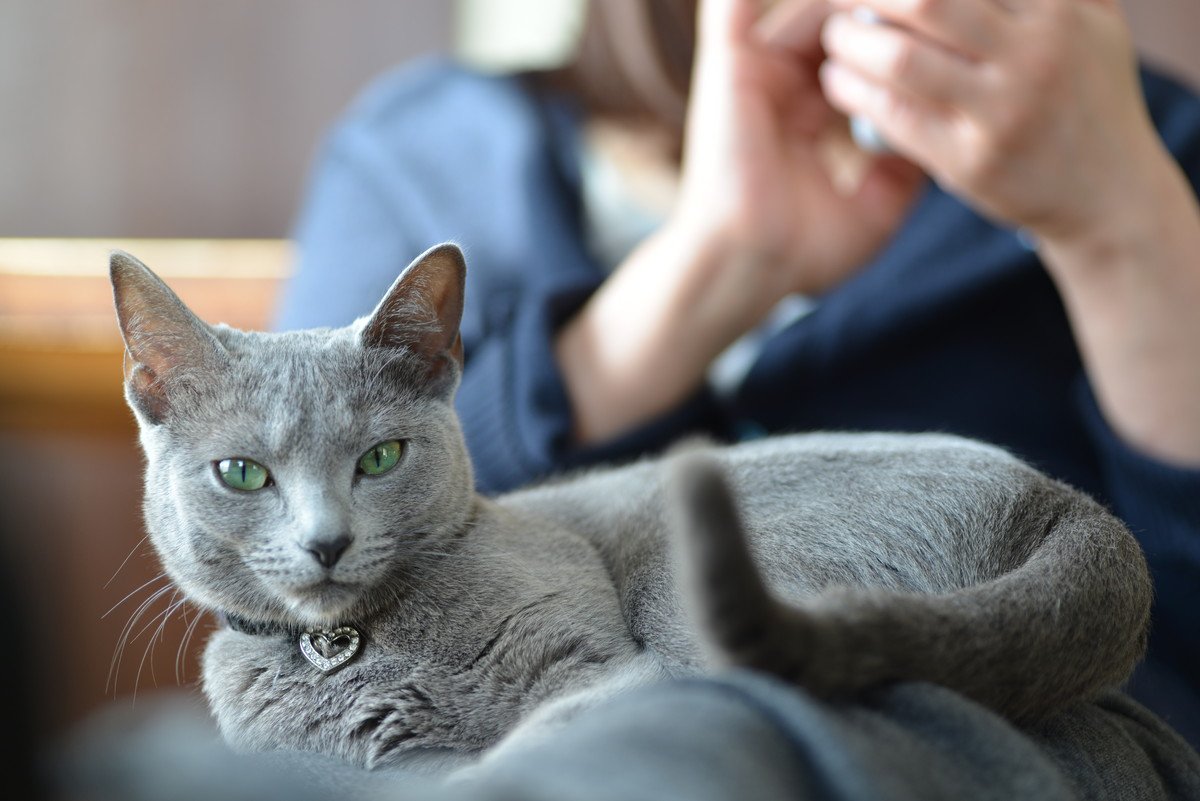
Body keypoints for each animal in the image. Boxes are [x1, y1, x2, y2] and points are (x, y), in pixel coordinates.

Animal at [112, 247, 1152, 772]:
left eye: (380, 457)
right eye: (242, 473)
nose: (326, 540)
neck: (347, 647)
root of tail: (1069, 500)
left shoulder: (605, 669)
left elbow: (525, 745)